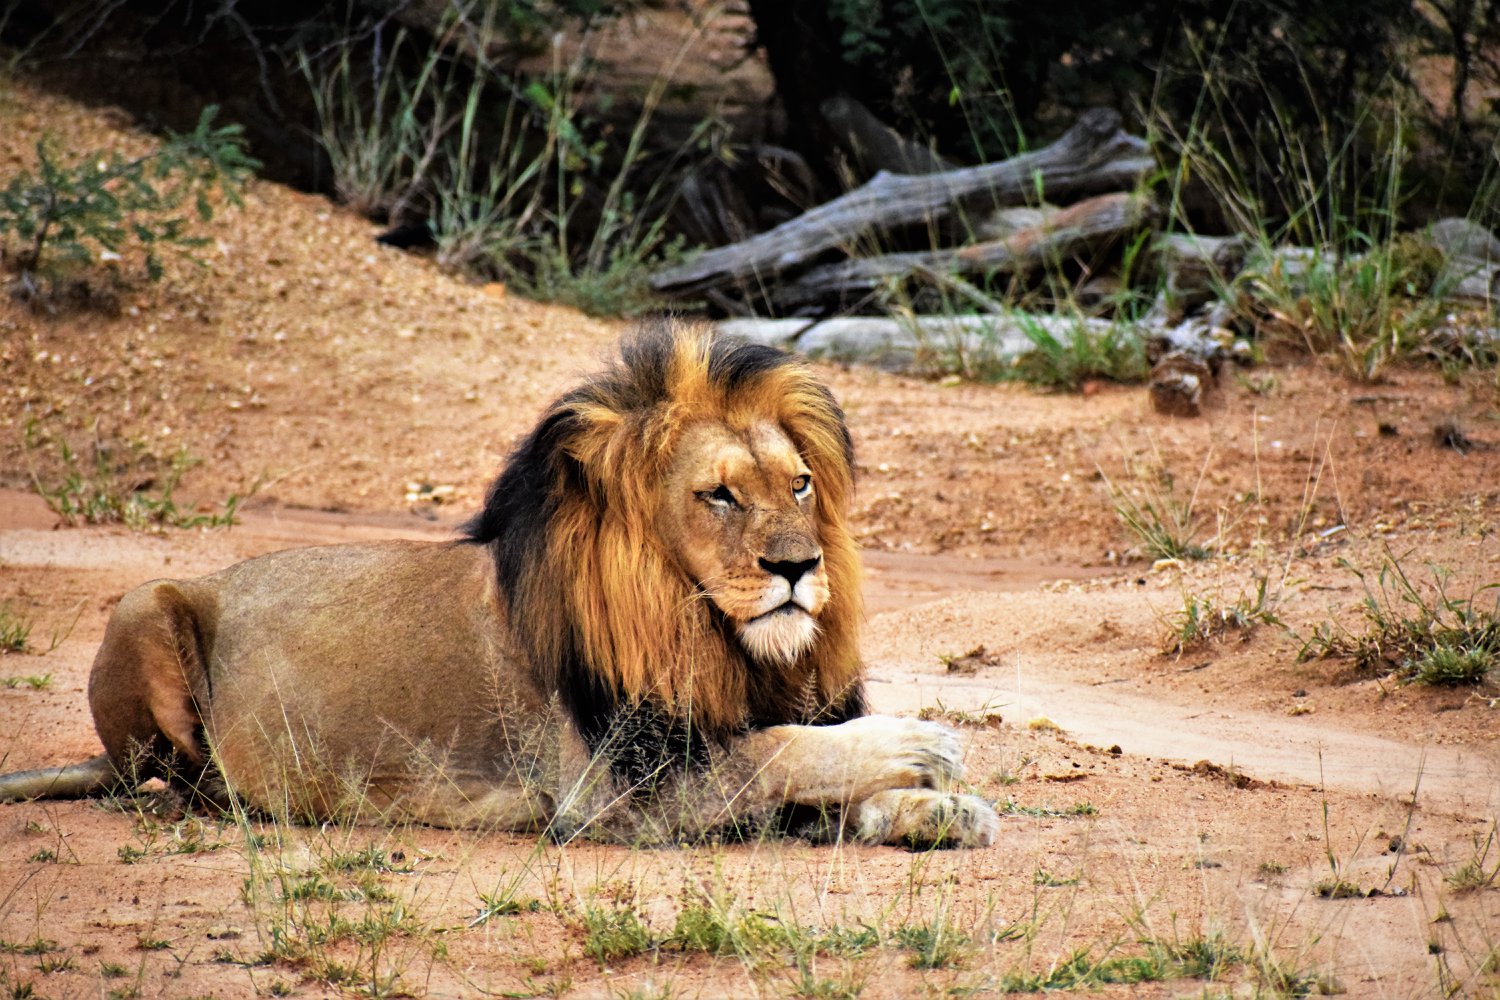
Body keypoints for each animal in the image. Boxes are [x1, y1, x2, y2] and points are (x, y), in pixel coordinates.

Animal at [0, 322, 999, 847]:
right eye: (718, 495)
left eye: (797, 485)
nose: (799, 567)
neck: (720, 642)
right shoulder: (619, 790)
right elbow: (787, 752)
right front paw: (924, 747)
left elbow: (814, 778)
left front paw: (938, 807)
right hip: (144, 604)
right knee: (173, 782)